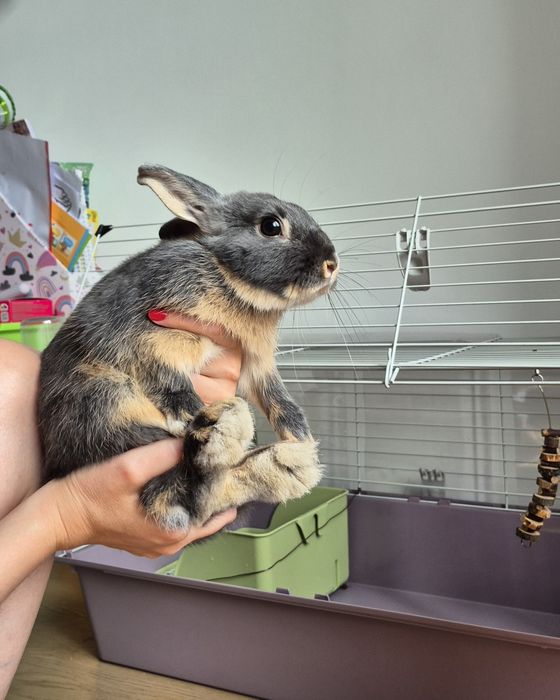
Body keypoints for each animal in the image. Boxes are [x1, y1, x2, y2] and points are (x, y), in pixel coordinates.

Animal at [38, 165, 339, 532]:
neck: (225, 275)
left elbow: (279, 399)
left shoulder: (257, 365)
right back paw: (229, 436)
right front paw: (188, 412)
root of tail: (55, 465)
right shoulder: (154, 338)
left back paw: (289, 465)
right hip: (104, 396)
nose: (331, 263)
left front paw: (301, 435)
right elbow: (167, 378)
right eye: (271, 226)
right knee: (174, 498)